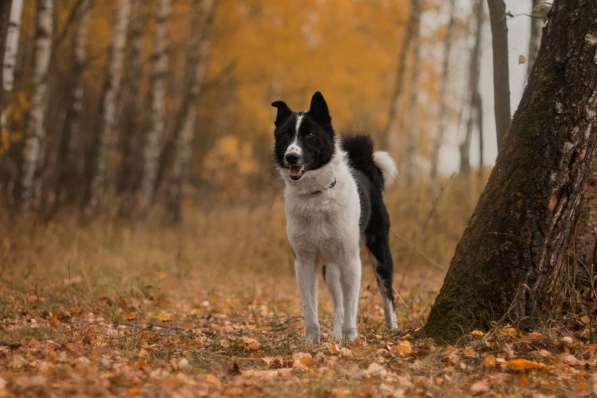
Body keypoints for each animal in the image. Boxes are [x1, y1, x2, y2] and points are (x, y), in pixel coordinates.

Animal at [272, 91, 398, 344]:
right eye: (286, 135)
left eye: (309, 134)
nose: (291, 157)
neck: (316, 196)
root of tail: (365, 167)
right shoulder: (304, 262)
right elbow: (310, 308)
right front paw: (312, 342)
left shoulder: (350, 259)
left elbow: (352, 305)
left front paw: (351, 338)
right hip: (329, 267)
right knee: (337, 302)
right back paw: (335, 334)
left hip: (378, 250)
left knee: (387, 291)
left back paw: (392, 327)